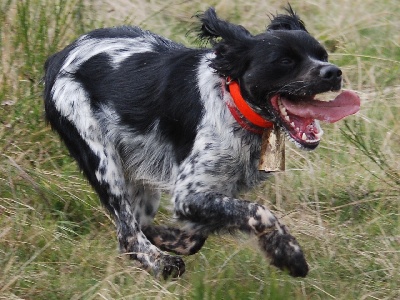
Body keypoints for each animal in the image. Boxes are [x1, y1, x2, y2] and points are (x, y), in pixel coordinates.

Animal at [43, 5, 360, 278]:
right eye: (284, 61)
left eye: (322, 55)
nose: (333, 72)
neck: (234, 105)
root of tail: (59, 56)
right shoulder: (189, 193)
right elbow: (260, 212)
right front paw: (288, 254)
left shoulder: (209, 195)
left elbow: (197, 236)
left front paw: (166, 236)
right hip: (104, 162)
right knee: (128, 234)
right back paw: (162, 263)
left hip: (142, 177)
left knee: (134, 228)